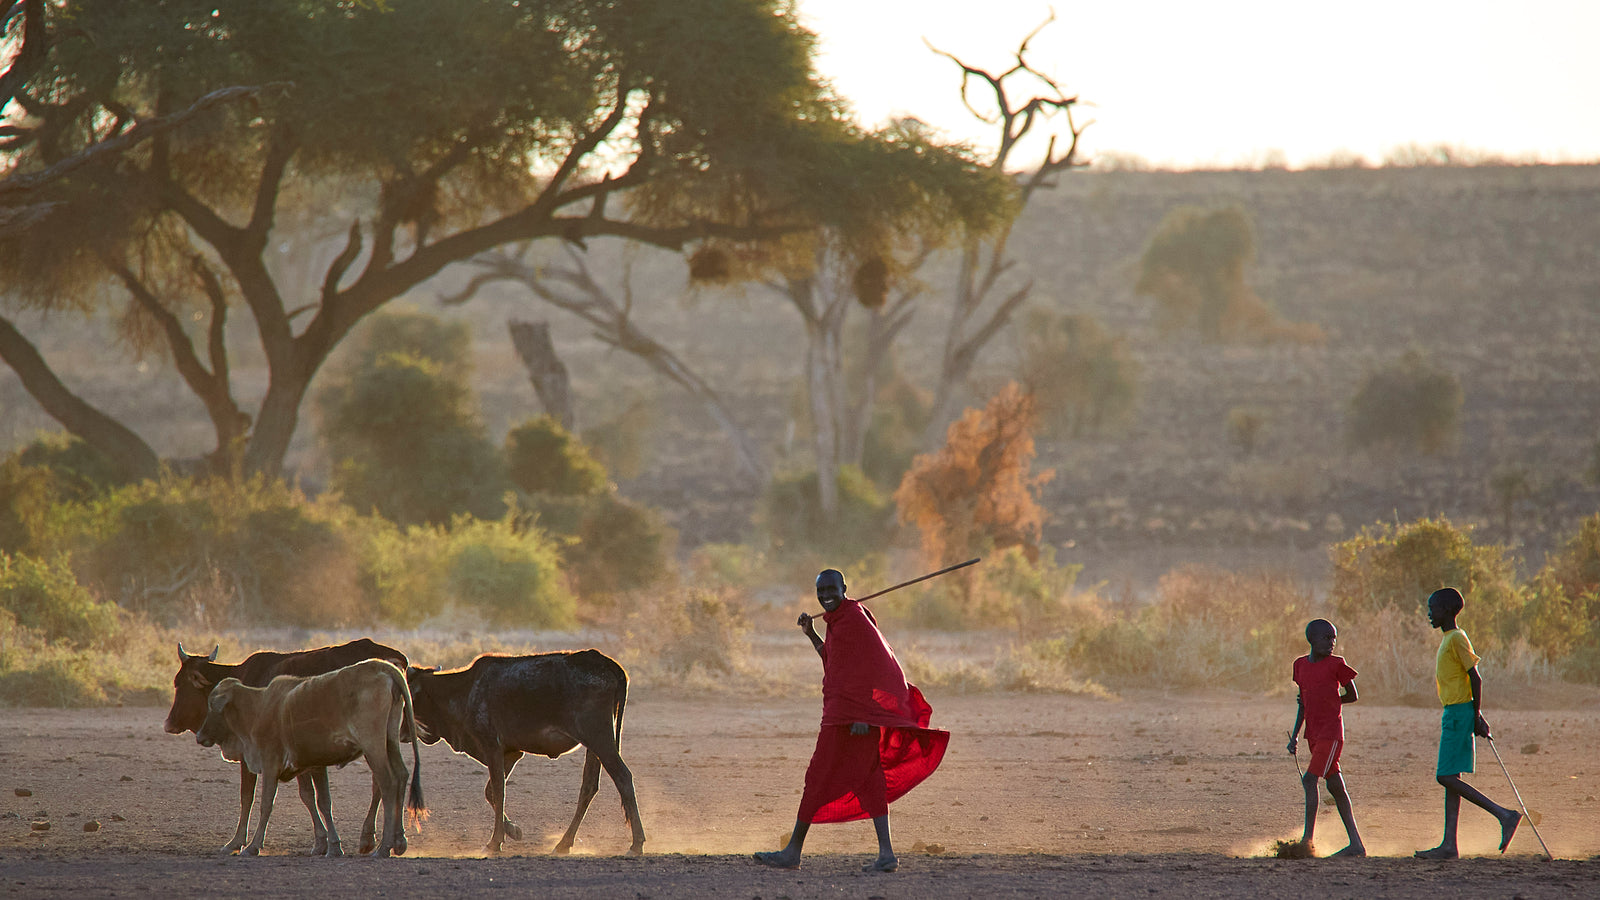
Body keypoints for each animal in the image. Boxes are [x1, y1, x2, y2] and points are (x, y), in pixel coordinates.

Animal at [165, 639, 408, 856]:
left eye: (179, 683)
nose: (169, 723)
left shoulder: (257, 754)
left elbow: (248, 797)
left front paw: (236, 842)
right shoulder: (302, 758)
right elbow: (308, 796)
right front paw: (321, 843)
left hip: (372, 743)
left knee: (383, 781)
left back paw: (374, 840)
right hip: (385, 741)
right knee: (394, 778)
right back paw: (391, 839)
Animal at [406, 650, 646, 855]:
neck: (463, 690)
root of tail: (605, 662)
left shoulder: (491, 746)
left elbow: (498, 791)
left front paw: (494, 842)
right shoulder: (511, 753)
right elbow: (491, 792)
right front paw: (512, 830)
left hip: (599, 738)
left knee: (623, 777)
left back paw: (636, 844)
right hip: (594, 744)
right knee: (589, 787)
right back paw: (564, 843)